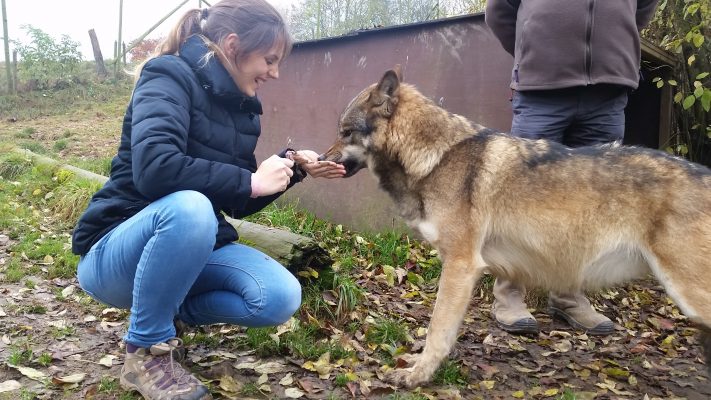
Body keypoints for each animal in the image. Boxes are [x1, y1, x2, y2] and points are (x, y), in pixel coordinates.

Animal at [320, 65, 711, 388]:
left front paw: (417, 375)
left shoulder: (461, 264)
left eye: (345, 132)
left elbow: (436, 331)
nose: (321, 159)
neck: (436, 157)